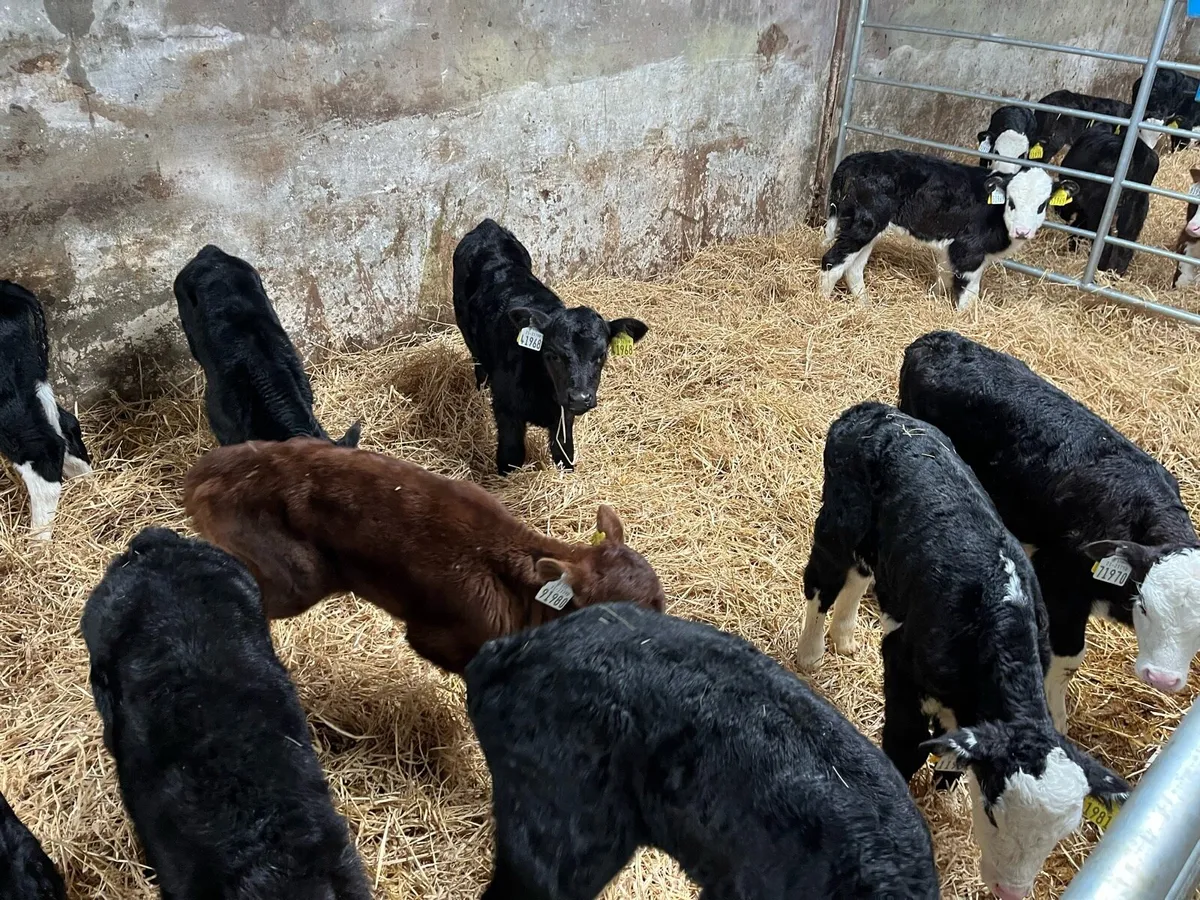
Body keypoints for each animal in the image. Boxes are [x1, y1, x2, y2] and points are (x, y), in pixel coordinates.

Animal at [452, 219, 648, 475]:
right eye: (553, 355)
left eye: (602, 354)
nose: (580, 398)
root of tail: (488, 225)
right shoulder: (506, 410)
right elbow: (511, 456)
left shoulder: (564, 413)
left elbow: (564, 451)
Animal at [798, 402, 1129, 900]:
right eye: (993, 812)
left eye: (1060, 834)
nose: (1011, 891)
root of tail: (873, 412)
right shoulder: (901, 667)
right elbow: (905, 748)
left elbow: (951, 758)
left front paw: (944, 792)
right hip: (839, 519)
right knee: (822, 581)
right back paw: (811, 652)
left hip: (878, 545)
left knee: (859, 575)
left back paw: (846, 637)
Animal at [821, 150, 1076, 310]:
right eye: (1011, 202)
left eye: (1042, 205)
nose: (1022, 231)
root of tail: (857, 158)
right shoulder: (969, 250)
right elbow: (968, 292)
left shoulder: (951, 247)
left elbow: (943, 276)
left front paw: (933, 300)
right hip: (864, 224)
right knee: (832, 262)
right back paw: (823, 304)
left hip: (871, 227)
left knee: (853, 268)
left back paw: (865, 306)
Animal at [899, 330, 1200, 731]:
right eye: (1146, 607)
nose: (1162, 679)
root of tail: (935, 339)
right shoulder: (1060, 583)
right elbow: (1067, 659)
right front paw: (1057, 720)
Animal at [1055, 126, 1160, 276]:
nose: (1059, 212)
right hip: (1138, 207)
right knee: (1125, 245)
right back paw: (1114, 275)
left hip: (1101, 209)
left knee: (1105, 246)